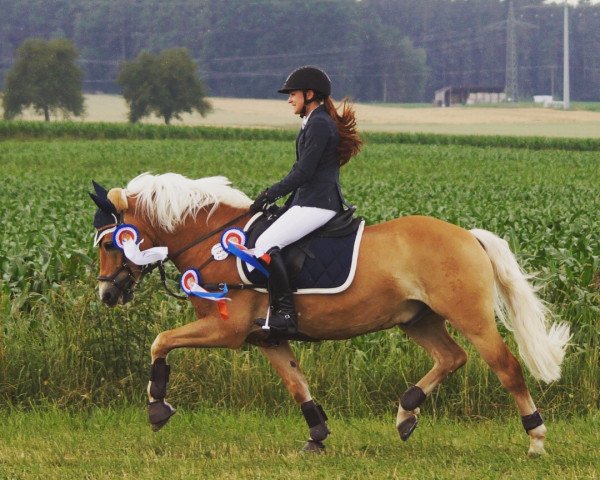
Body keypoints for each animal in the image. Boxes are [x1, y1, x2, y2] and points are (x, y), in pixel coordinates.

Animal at [91, 172, 568, 454]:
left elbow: (161, 342)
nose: (107, 295)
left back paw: (536, 439)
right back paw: (406, 414)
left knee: (505, 366)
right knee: (452, 357)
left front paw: (157, 409)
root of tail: (468, 235)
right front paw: (317, 438)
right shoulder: (268, 337)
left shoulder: (226, 329)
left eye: (110, 241)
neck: (212, 242)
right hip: (418, 319)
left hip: (471, 317)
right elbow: (297, 384)